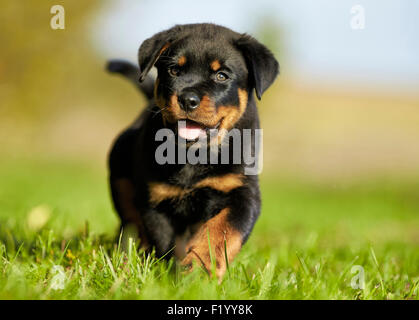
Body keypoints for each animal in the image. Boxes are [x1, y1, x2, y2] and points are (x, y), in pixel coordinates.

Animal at [106, 22, 280, 278]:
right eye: (174, 71)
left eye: (221, 75)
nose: (187, 99)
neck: (195, 156)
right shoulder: (156, 200)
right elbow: (167, 243)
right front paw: (174, 274)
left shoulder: (242, 193)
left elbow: (222, 232)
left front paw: (200, 270)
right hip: (120, 170)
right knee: (130, 219)